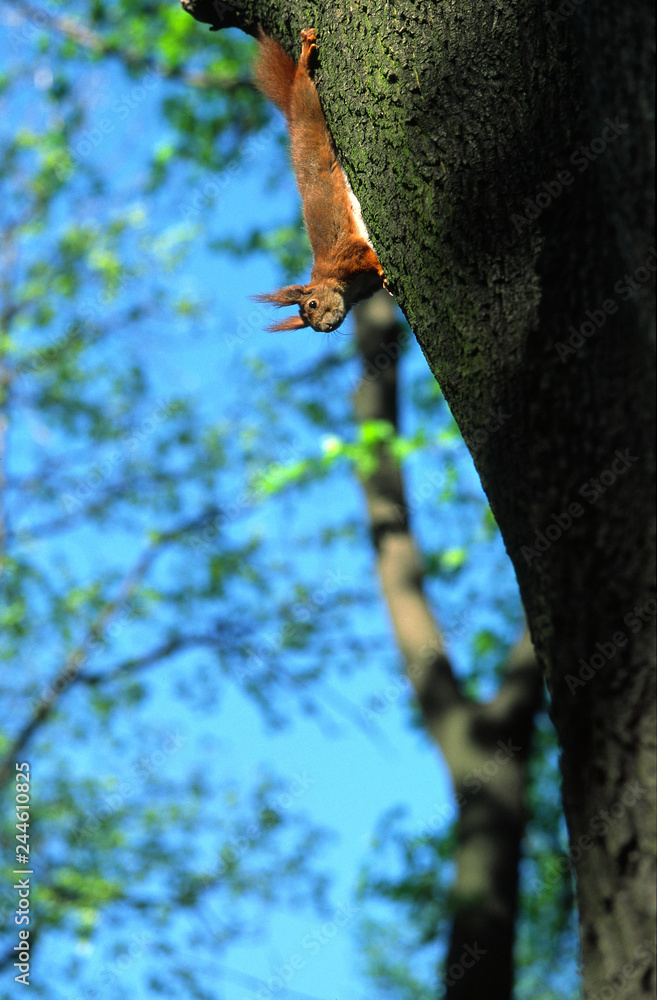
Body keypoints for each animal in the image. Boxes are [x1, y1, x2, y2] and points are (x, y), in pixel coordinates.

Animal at [253, 28, 385, 332]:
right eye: (309, 326)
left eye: (312, 304)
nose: (325, 327)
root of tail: (292, 122)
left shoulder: (346, 254)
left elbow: (366, 255)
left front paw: (381, 268)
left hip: (308, 110)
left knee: (303, 87)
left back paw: (304, 60)